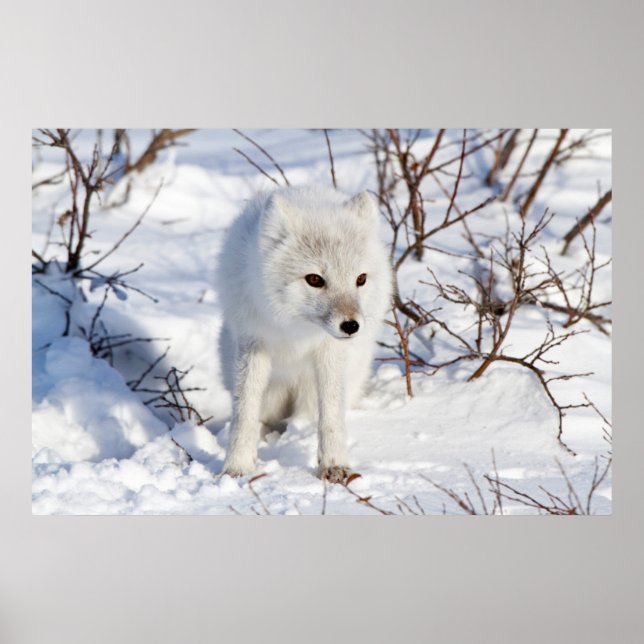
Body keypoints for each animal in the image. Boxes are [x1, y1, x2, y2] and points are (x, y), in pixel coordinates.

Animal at [216, 185, 392, 483]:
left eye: (360, 279)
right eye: (314, 279)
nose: (351, 326)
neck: (296, 330)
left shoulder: (330, 351)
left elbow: (331, 416)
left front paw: (334, 466)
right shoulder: (253, 342)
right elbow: (244, 413)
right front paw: (236, 468)